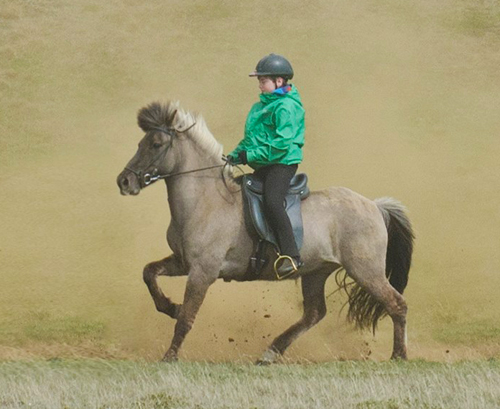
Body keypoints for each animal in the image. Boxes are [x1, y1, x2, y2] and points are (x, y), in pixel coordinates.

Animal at [117, 100, 414, 362]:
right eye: (140, 143)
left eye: (156, 144)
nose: (124, 181)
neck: (205, 200)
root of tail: (375, 206)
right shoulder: (182, 262)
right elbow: (149, 273)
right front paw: (169, 307)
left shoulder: (203, 271)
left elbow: (186, 318)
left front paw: (169, 356)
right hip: (316, 272)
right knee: (314, 313)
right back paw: (270, 353)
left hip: (365, 269)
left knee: (397, 304)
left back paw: (399, 355)